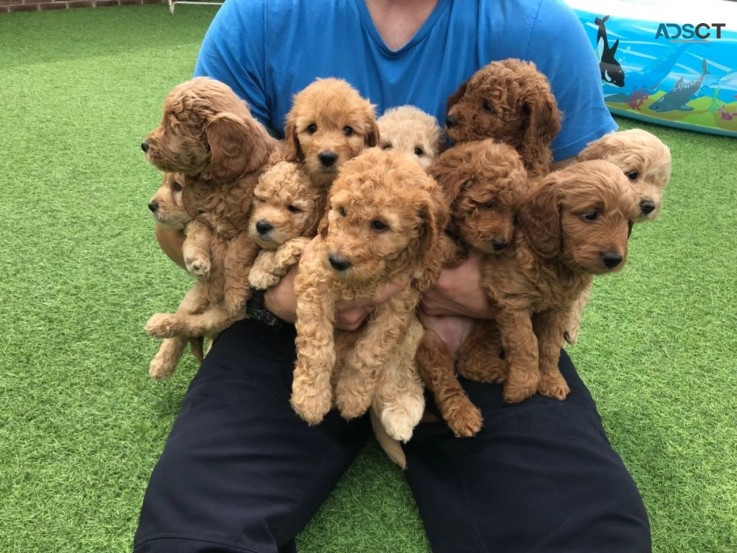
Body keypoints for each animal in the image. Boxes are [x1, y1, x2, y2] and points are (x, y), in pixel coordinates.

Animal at [290, 149, 446, 446]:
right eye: (341, 211)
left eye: (380, 224)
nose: (337, 261)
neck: (364, 280)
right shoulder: (316, 277)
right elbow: (317, 348)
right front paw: (311, 399)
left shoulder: (398, 304)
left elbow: (369, 353)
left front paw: (352, 396)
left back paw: (400, 413)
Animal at [460, 160, 640, 402]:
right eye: (590, 215)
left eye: (627, 220)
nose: (614, 259)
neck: (558, 265)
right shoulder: (511, 299)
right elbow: (526, 343)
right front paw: (522, 386)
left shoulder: (559, 309)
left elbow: (549, 346)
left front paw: (551, 380)